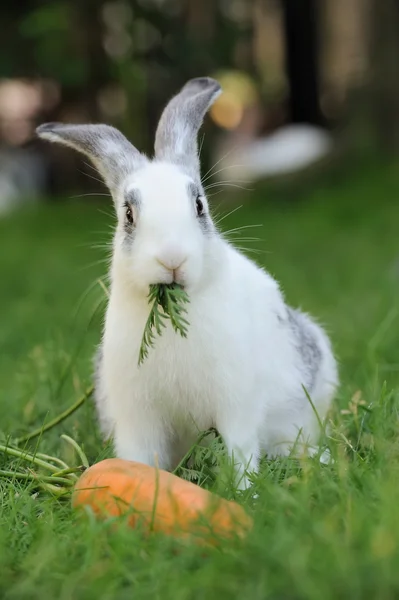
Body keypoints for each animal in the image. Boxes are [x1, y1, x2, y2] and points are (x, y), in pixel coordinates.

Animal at [37, 76, 340, 488]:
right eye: (128, 215)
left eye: (199, 206)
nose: (172, 259)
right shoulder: (137, 416)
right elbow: (139, 456)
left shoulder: (236, 404)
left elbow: (240, 451)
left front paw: (245, 492)